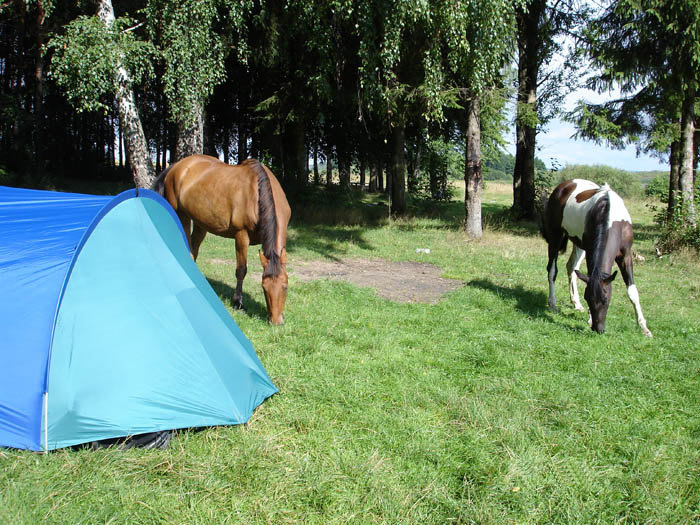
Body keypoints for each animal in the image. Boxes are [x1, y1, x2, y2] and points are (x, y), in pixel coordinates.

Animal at [154, 152, 292, 324]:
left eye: (285, 286)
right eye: (264, 287)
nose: (276, 322)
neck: (257, 194)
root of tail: (176, 166)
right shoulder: (241, 236)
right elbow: (241, 270)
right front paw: (238, 303)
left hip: (200, 224)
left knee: (194, 250)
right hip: (181, 216)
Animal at [540, 179, 652, 336]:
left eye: (605, 299)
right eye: (588, 298)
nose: (598, 329)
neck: (610, 217)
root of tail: (564, 185)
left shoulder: (626, 255)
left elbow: (632, 291)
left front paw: (644, 327)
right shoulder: (591, 252)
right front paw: (589, 318)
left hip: (579, 244)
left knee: (571, 267)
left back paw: (576, 303)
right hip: (555, 237)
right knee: (552, 270)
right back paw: (553, 303)